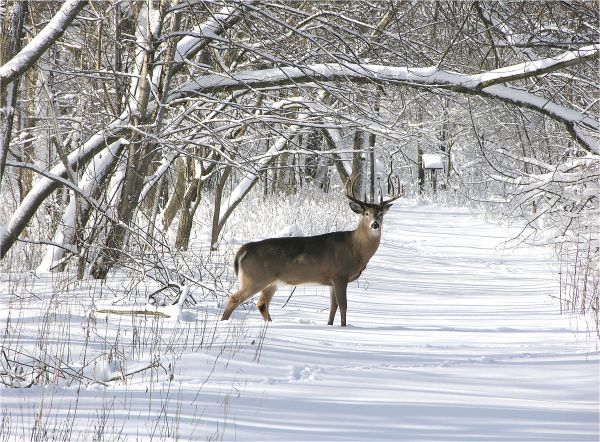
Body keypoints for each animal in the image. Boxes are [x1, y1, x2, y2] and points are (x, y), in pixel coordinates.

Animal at [220, 180, 404, 324]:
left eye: (380, 213)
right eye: (366, 213)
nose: (375, 224)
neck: (355, 247)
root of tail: (244, 249)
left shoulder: (331, 280)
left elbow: (333, 307)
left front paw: (330, 325)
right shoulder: (340, 274)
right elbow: (343, 306)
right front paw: (344, 328)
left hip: (271, 282)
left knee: (262, 304)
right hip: (255, 278)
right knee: (234, 298)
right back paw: (224, 323)